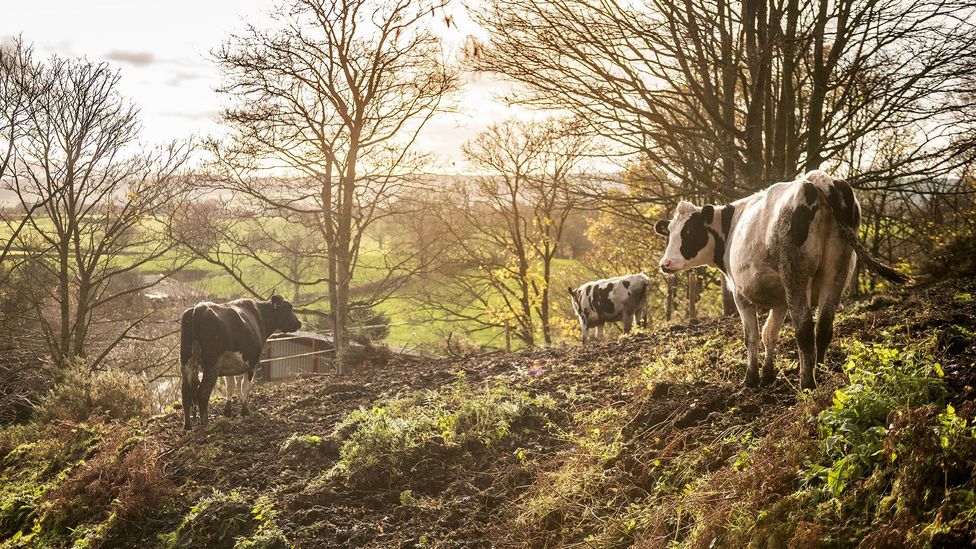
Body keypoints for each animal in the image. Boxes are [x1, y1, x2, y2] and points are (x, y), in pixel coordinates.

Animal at [179, 296, 302, 428]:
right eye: (289, 308)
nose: (299, 323)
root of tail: (200, 307)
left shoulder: (228, 366)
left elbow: (230, 386)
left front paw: (227, 412)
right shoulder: (252, 363)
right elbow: (245, 387)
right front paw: (245, 412)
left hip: (186, 362)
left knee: (186, 393)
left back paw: (187, 426)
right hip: (213, 363)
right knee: (202, 392)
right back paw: (205, 423)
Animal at [656, 171, 908, 390]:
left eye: (689, 231)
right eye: (669, 233)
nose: (665, 263)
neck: (731, 227)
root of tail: (820, 180)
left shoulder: (740, 294)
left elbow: (752, 337)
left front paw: (751, 379)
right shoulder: (780, 300)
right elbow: (770, 334)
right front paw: (768, 375)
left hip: (796, 275)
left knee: (804, 328)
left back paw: (807, 382)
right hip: (837, 270)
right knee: (824, 327)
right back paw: (820, 373)